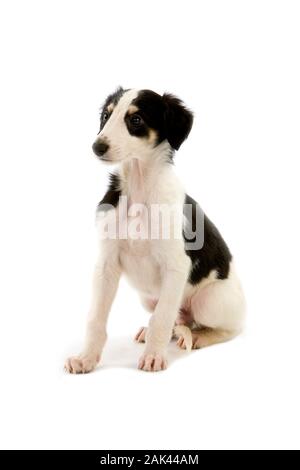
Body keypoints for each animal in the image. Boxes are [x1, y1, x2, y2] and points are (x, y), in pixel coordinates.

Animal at [64, 87, 245, 374]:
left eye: (135, 120)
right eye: (106, 115)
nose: (97, 147)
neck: (140, 188)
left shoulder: (176, 266)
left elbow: (162, 318)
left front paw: (153, 357)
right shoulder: (106, 264)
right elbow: (96, 318)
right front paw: (86, 358)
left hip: (210, 301)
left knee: (225, 328)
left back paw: (200, 336)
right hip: (148, 298)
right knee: (175, 319)